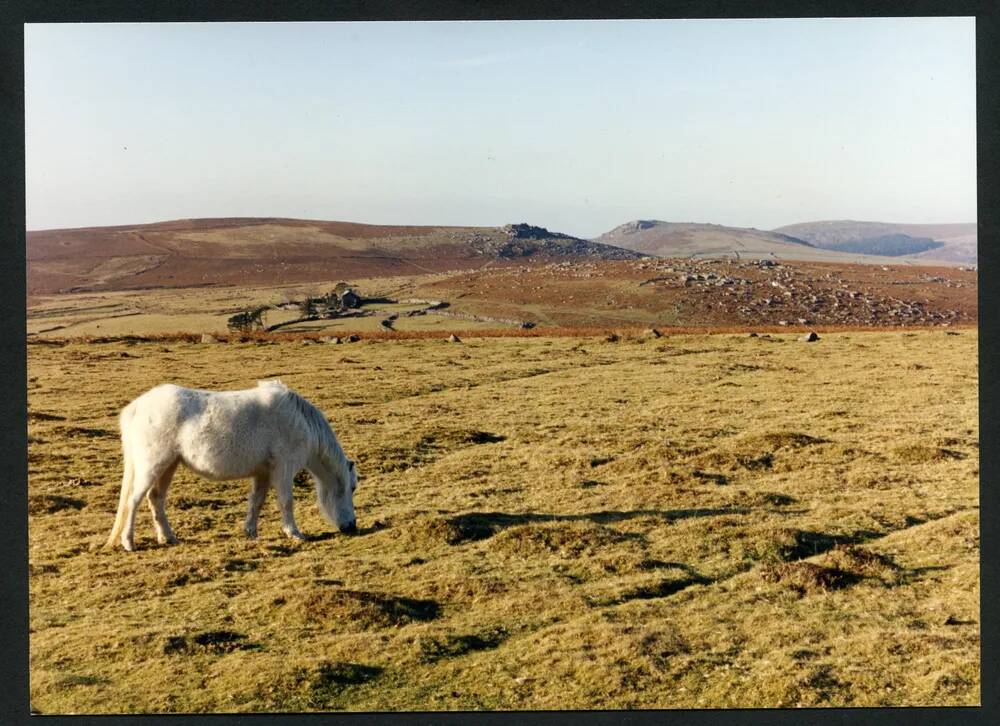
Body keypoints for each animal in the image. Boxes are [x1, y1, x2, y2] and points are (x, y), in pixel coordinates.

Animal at [104, 382, 356, 552]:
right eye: (351, 488)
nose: (351, 526)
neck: (300, 421)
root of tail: (136, 407)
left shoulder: (264, 473)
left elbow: (256, 502)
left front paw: (251, 532)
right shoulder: (283, 469)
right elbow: (286, 502)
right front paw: (294, 533)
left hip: (169, 465)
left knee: (155, 498)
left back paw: (168, 538)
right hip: (152, 465)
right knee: (133, 501)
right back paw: (129, 542)